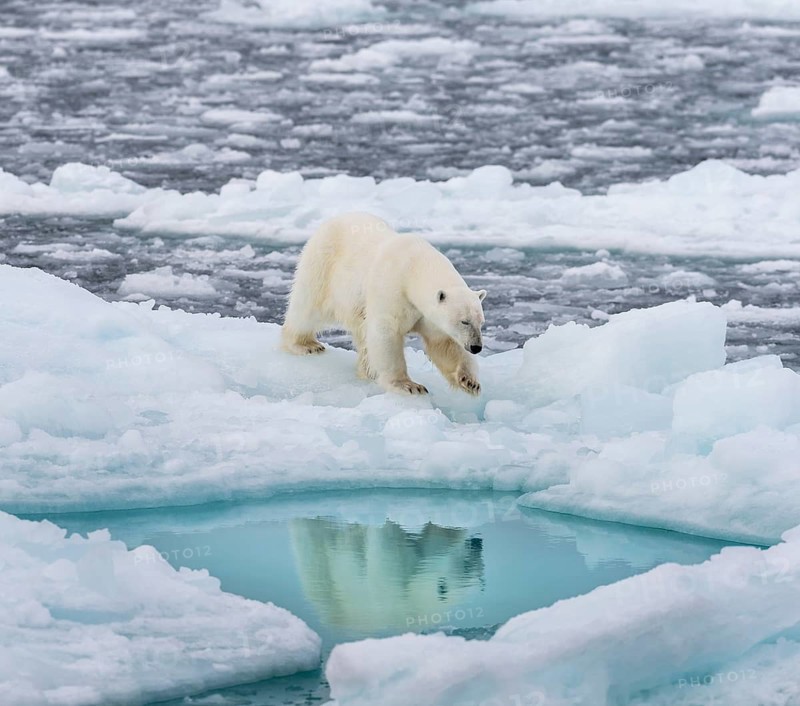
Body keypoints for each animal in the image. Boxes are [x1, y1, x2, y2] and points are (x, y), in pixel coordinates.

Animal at [281, 212, 487, 396]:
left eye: (481, 322)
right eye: (464, 321)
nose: (476, 347)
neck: (415, 267)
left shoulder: (428, 315)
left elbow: (444, 343)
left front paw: (470, 381)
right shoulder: (392, 289)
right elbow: (386, 333)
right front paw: (409, 386)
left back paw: (367, 371)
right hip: (323, 266)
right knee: (308, 307)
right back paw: (306, 344)